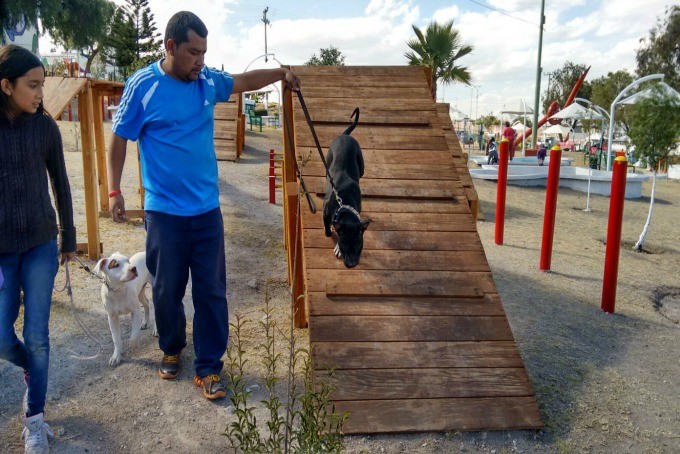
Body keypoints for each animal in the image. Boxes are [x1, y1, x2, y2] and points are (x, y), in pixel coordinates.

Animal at [324, 107, 372, 268]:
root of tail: (345, 135)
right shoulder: (326, 213)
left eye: (359, 246)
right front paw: (330, 233)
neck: (345, 202)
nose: (351, 264)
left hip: (361, 164)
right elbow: (327, 227)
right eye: (344, 245)